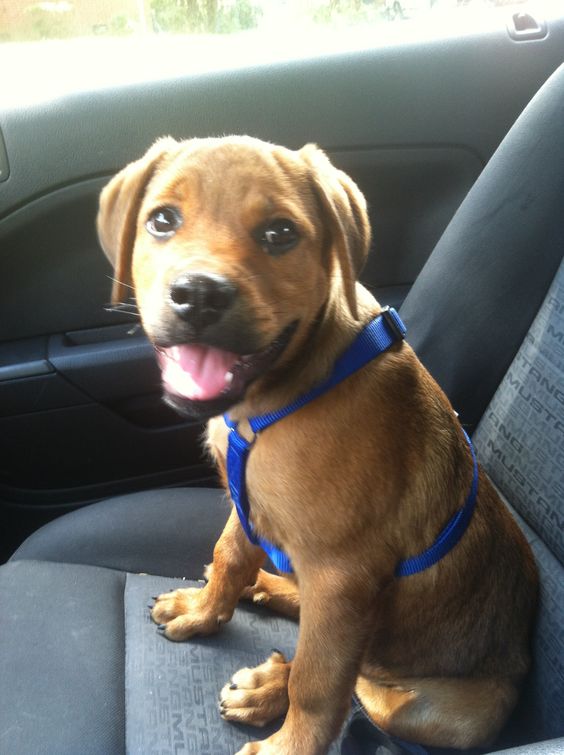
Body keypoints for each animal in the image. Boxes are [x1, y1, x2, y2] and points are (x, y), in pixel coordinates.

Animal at [97, 137, 536, 755]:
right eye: (162, 220)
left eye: (280, 233)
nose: (199, 295)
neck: (278, 397)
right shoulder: (250, 506)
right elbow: (229, 554)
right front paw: (204, 610)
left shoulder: (342, 574)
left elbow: (320, 684)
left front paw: (288, 744)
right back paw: (269, 599)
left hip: (438, 711)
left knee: (358, 683)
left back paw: (270, 687)